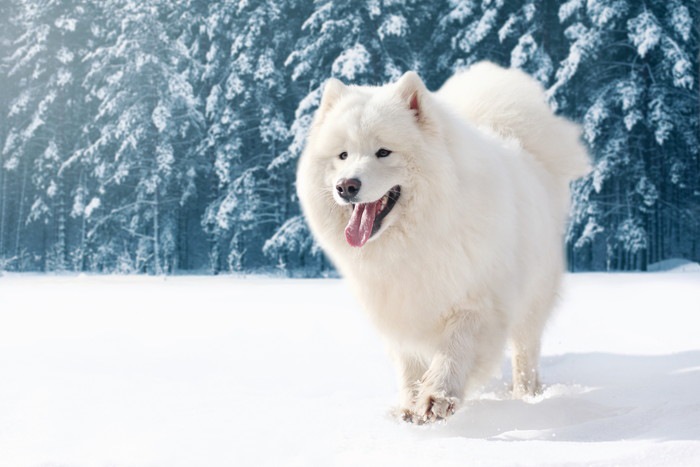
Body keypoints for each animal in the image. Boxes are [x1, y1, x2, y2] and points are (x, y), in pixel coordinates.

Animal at [296, 62, 592, 424]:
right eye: (342, 155)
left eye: (383, 152)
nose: (346, 186)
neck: (419, 239)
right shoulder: (399, 307)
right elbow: (409, 363)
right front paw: (409, 407)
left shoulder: (478, 301)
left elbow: (456, 347)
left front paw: (438, 396)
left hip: (532, 300)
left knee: (526, 353)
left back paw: (527, 395)